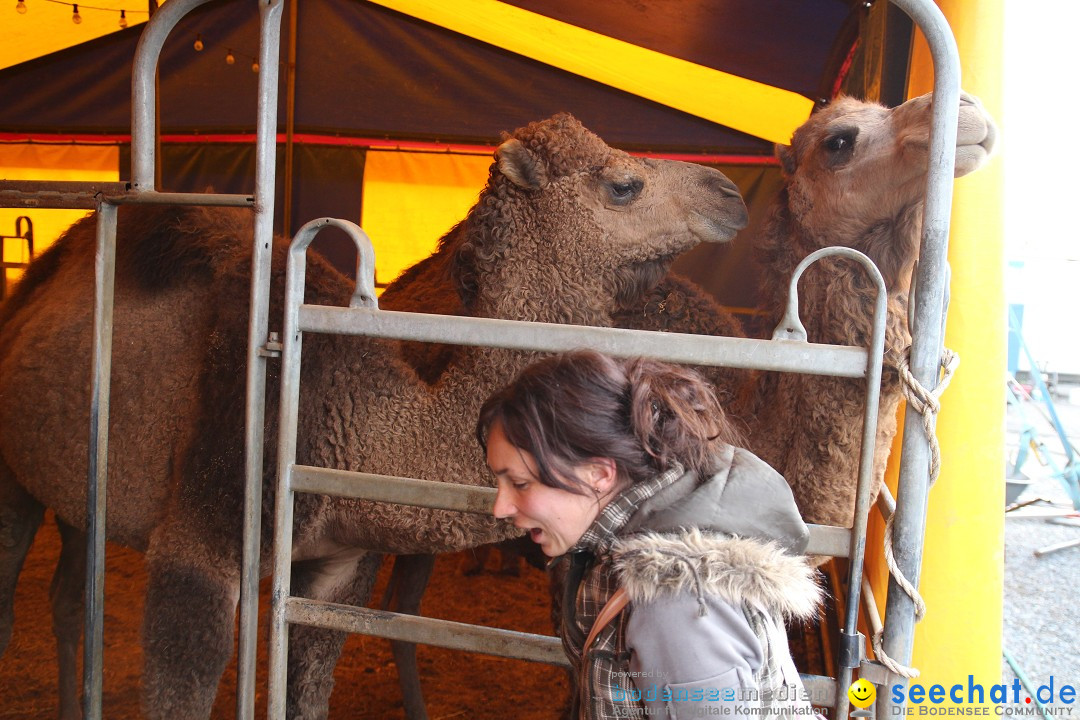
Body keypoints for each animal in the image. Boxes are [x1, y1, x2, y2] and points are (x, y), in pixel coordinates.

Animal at [0, 111, 747, 716]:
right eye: (623, 185)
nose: (731, 194)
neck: (344, 418)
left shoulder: (340, 564)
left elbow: (307, 689)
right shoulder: (199, 548)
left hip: (77, 491)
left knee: (70, 592)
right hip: (15, 480)